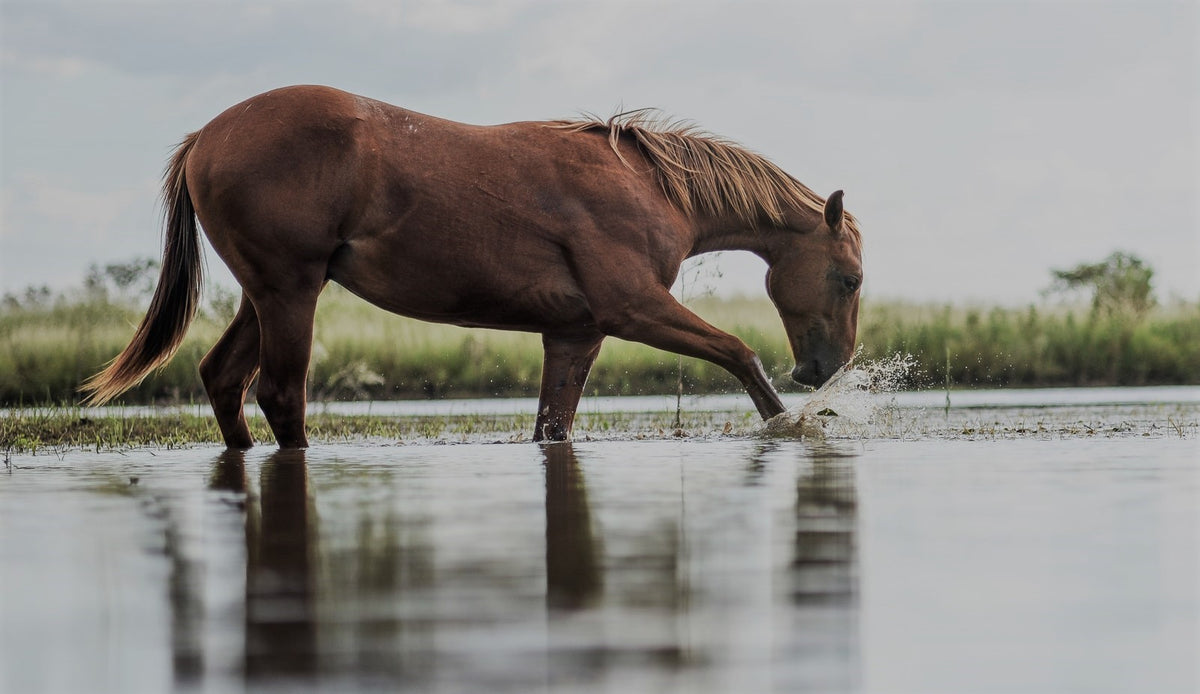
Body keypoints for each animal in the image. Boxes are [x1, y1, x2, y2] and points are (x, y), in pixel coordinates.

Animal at [79, 84, 859, 446]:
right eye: (849, 278)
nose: (825, 368)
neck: (650, 184)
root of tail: (206, 137)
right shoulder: (634, 309)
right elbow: (738, 352)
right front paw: (795, 424)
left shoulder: (575, 333)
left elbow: (553, 427)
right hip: (288, 292)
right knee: (279, 393)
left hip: (264, 294)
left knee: (223, 380)